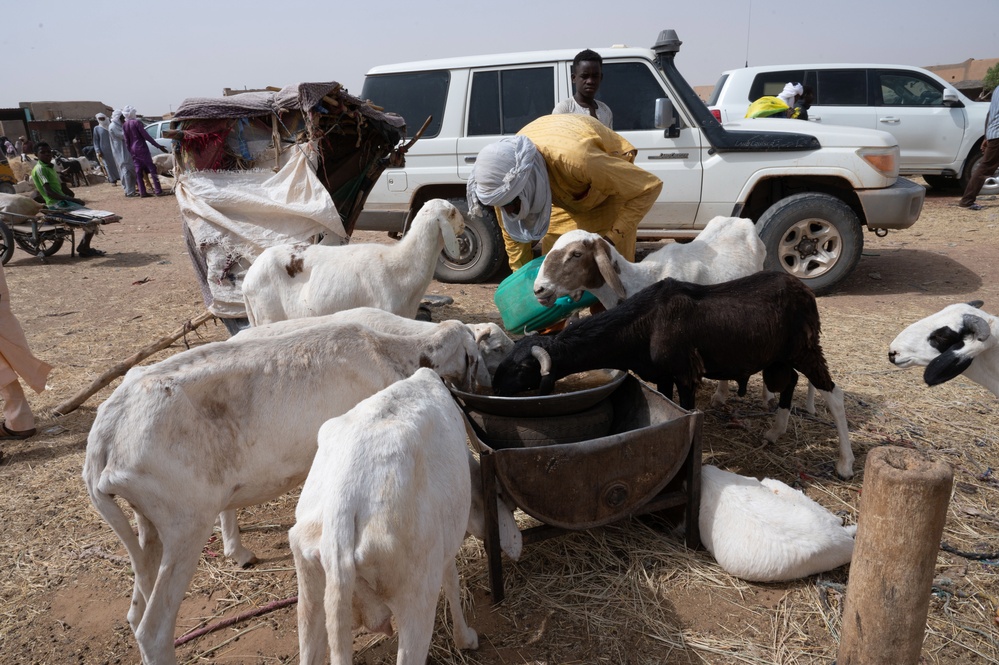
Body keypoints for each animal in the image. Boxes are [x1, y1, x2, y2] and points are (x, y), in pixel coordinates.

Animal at [84, 320, 490, 660]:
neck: (388, 354)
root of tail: (106, 430)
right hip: (185, 525)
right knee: (152, 630)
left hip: (148, 523)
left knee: (136, 610)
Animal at [290, 368, 524, 664]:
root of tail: (342, 504)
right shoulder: (441, 551)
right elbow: (452, 582)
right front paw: (466, 640)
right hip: (416, 596)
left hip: (310, 595)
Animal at [492, 270, 852, 478]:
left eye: (521, 369)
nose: (493, 387)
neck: (644, 324)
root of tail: (804, 289)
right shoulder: (662, 375)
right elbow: (667, 407)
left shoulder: (685, 371)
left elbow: (686, 408)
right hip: (778, 358)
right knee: (789, 382)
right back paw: (775, 432)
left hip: (804, 348)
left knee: (833, 395)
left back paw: (845, 464)